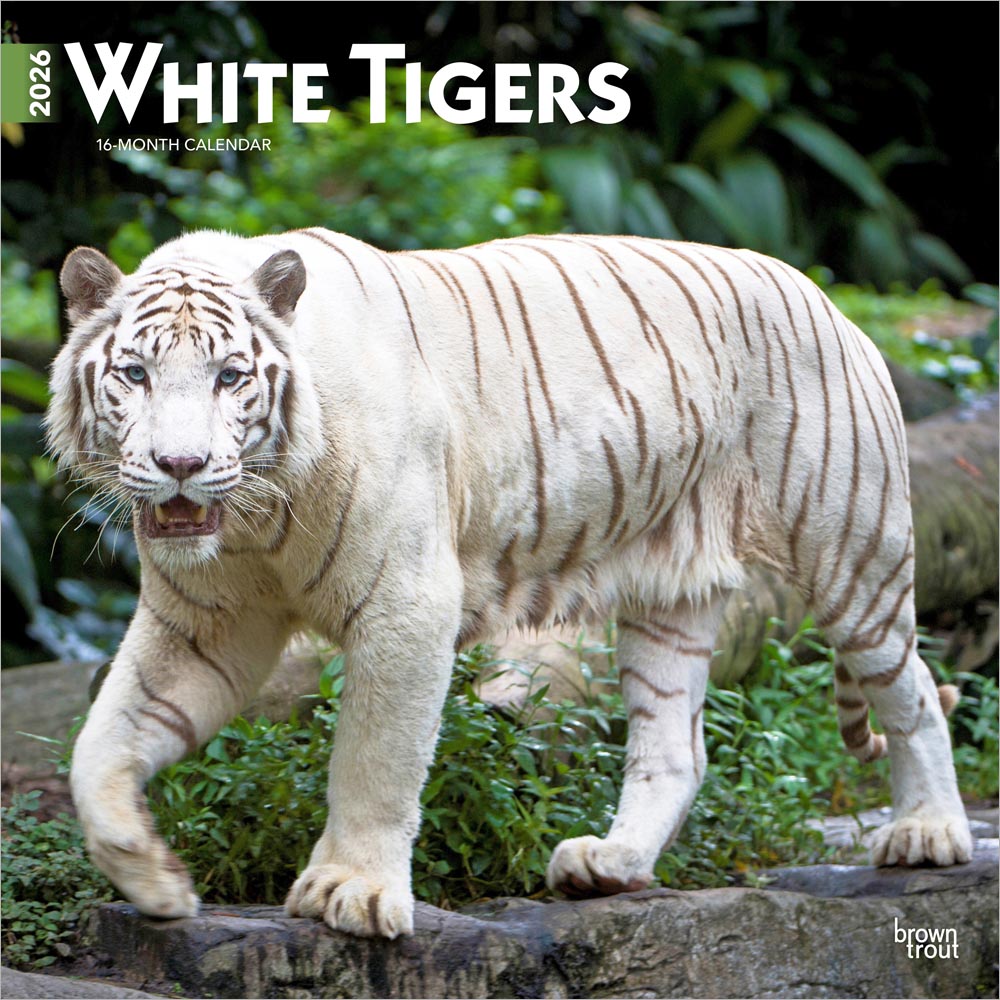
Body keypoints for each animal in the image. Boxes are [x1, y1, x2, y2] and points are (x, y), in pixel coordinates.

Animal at [48, 228, 973, 939]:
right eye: (134, 374)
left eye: (230, 378)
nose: (180, 465)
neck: (254, 518)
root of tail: (826, 296)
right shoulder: (205, 626)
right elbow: (98, 747)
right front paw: (155, 880)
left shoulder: (407, 604)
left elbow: (374, 759)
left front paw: (352, 891)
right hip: (667, 597)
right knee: (676, 748)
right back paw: (611, 864)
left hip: (851, 546)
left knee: (915, 690)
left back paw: (929, 833)